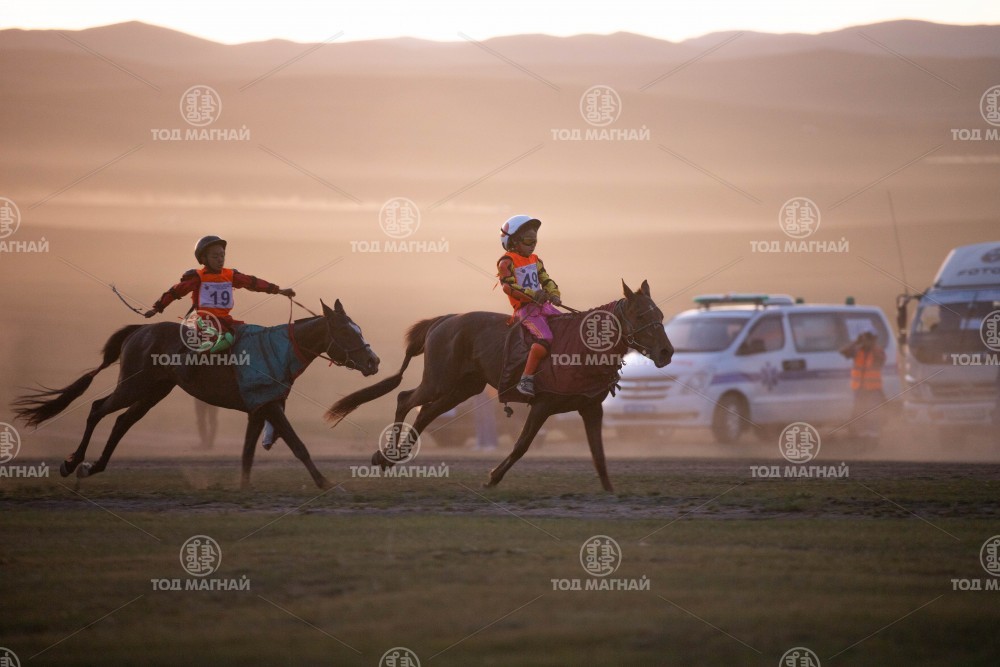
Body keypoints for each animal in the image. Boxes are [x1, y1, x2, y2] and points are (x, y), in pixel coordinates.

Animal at [13, 299, 379, 489]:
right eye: (347, 331)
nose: (373, 361)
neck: (280, 349)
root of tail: (139, 332)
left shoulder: (260, 407)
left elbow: (248, 451)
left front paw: (243, 488)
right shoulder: (270, 406)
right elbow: (298, 445)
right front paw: (325, 483)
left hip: (155, 391)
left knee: (122, 421)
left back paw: (94, 466)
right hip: (133, 385)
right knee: (98, 408)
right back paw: (72, 462)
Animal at [325, 280, 673, 491]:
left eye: (659, 313)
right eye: (640, 314)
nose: (666, 352)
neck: (582, 348)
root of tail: (444, 320)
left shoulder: (590, 408)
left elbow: (598, 452)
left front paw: (610, 490)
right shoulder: (543, 405)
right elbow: (522, 445)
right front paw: (493, 477)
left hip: (462, 389)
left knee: (425, 412)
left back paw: (395, 456)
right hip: (439, 381)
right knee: (406, 399)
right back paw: (387, 455)